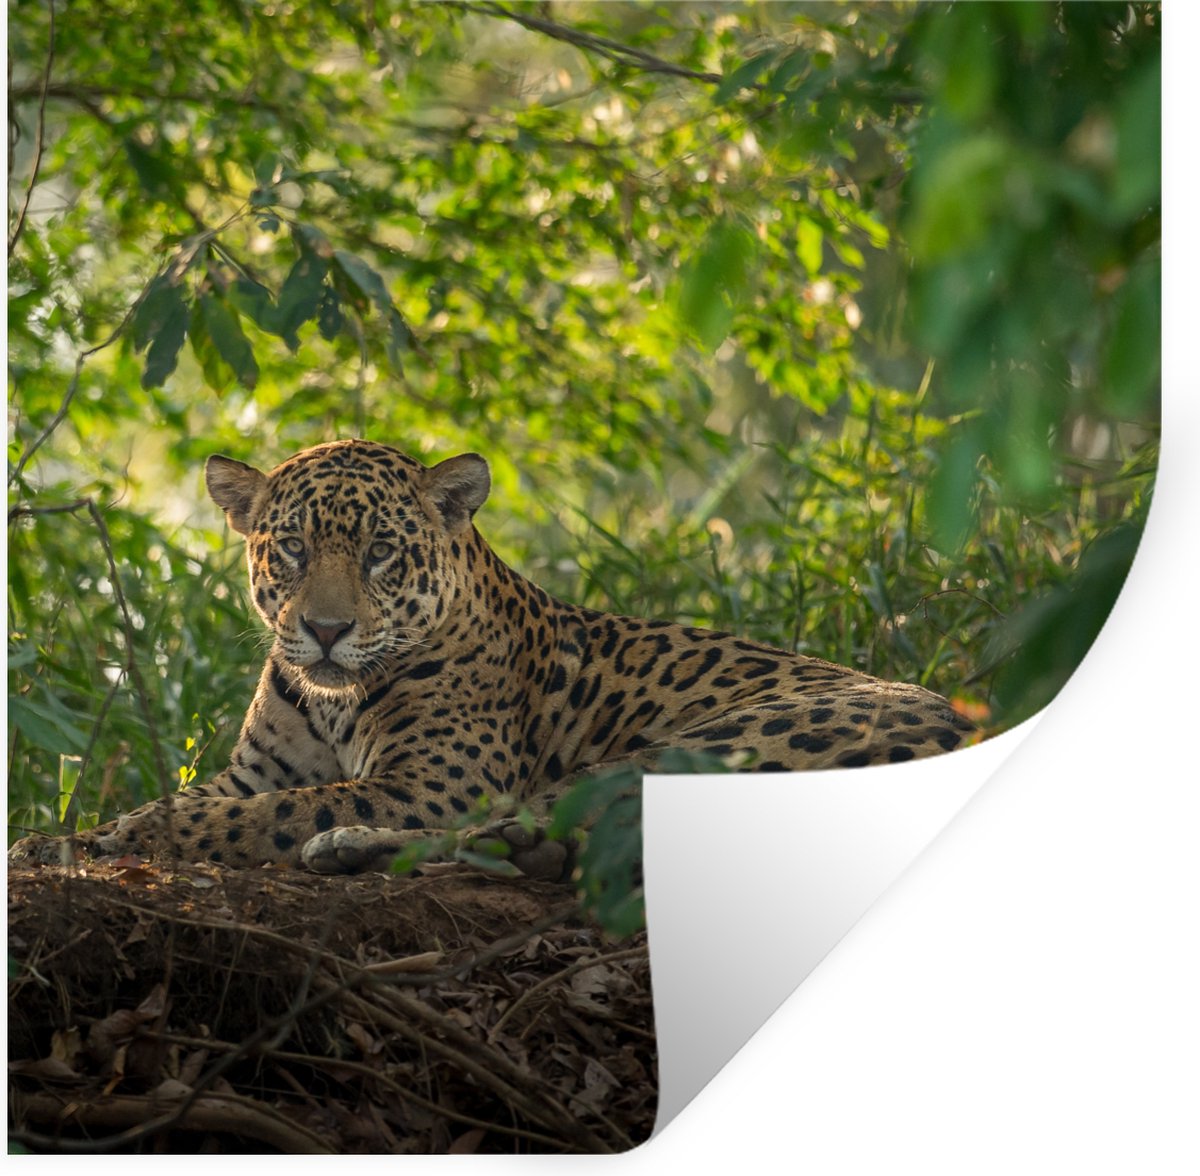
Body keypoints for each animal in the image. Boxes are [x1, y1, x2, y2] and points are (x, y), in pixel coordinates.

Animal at [10, 439, 976, 880]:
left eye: (380, 553)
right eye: (289, 549)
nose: (323, 631)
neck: (332, 698)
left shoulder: (431, 781)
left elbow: (266, 814)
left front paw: (130, 839)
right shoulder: (252, 769)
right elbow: (205, 796)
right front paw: (66, 836)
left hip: (708, 745)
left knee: (527, 826)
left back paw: (345, 846)